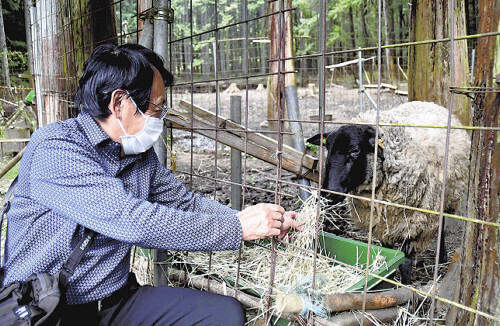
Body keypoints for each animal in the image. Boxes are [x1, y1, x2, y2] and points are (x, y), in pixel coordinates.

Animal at [306, 102, 470, 282]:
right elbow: (389, 253)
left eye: (355, 151)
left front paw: (405, 284)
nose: (328, 193)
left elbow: (405, 263)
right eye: (327, 148)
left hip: (445, 199)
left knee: (442, 224)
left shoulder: (413, 223)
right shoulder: (382, 224)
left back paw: (442, 257)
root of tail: (431, 103)